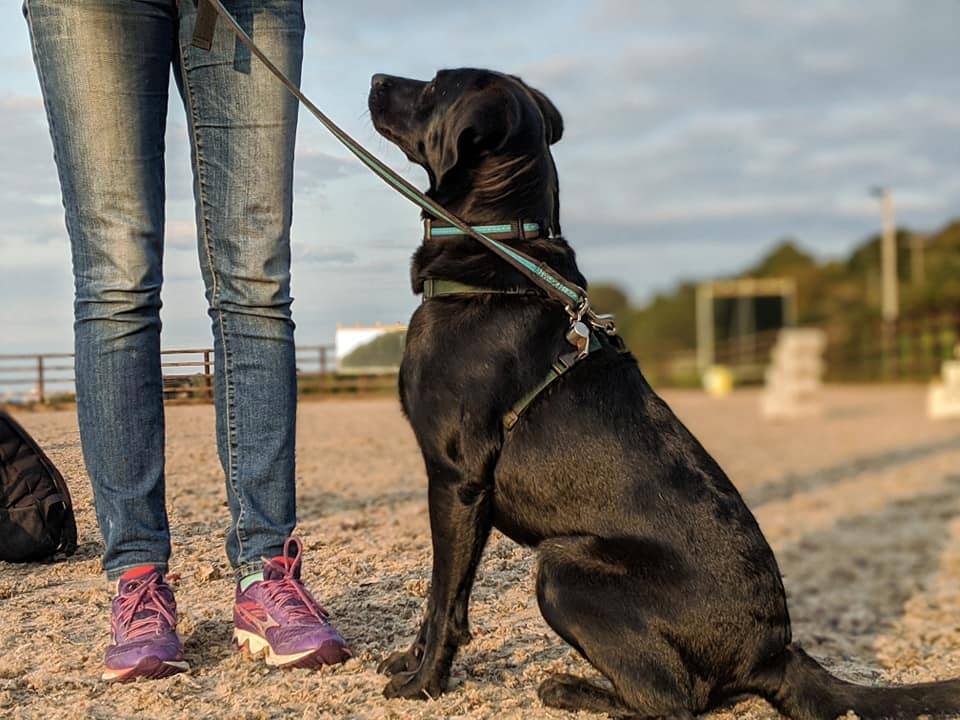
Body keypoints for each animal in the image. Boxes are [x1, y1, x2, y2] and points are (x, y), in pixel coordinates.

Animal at [368, 67, 960, 720]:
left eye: (433, 87)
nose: (374, 78)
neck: (501, 247)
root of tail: (774, 651)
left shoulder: (457, 478)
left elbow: (445, 597)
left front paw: (423, 683)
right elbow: (436, 595)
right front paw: (408, 663)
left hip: (563, 566)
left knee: (672, 701)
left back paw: (568, 689)